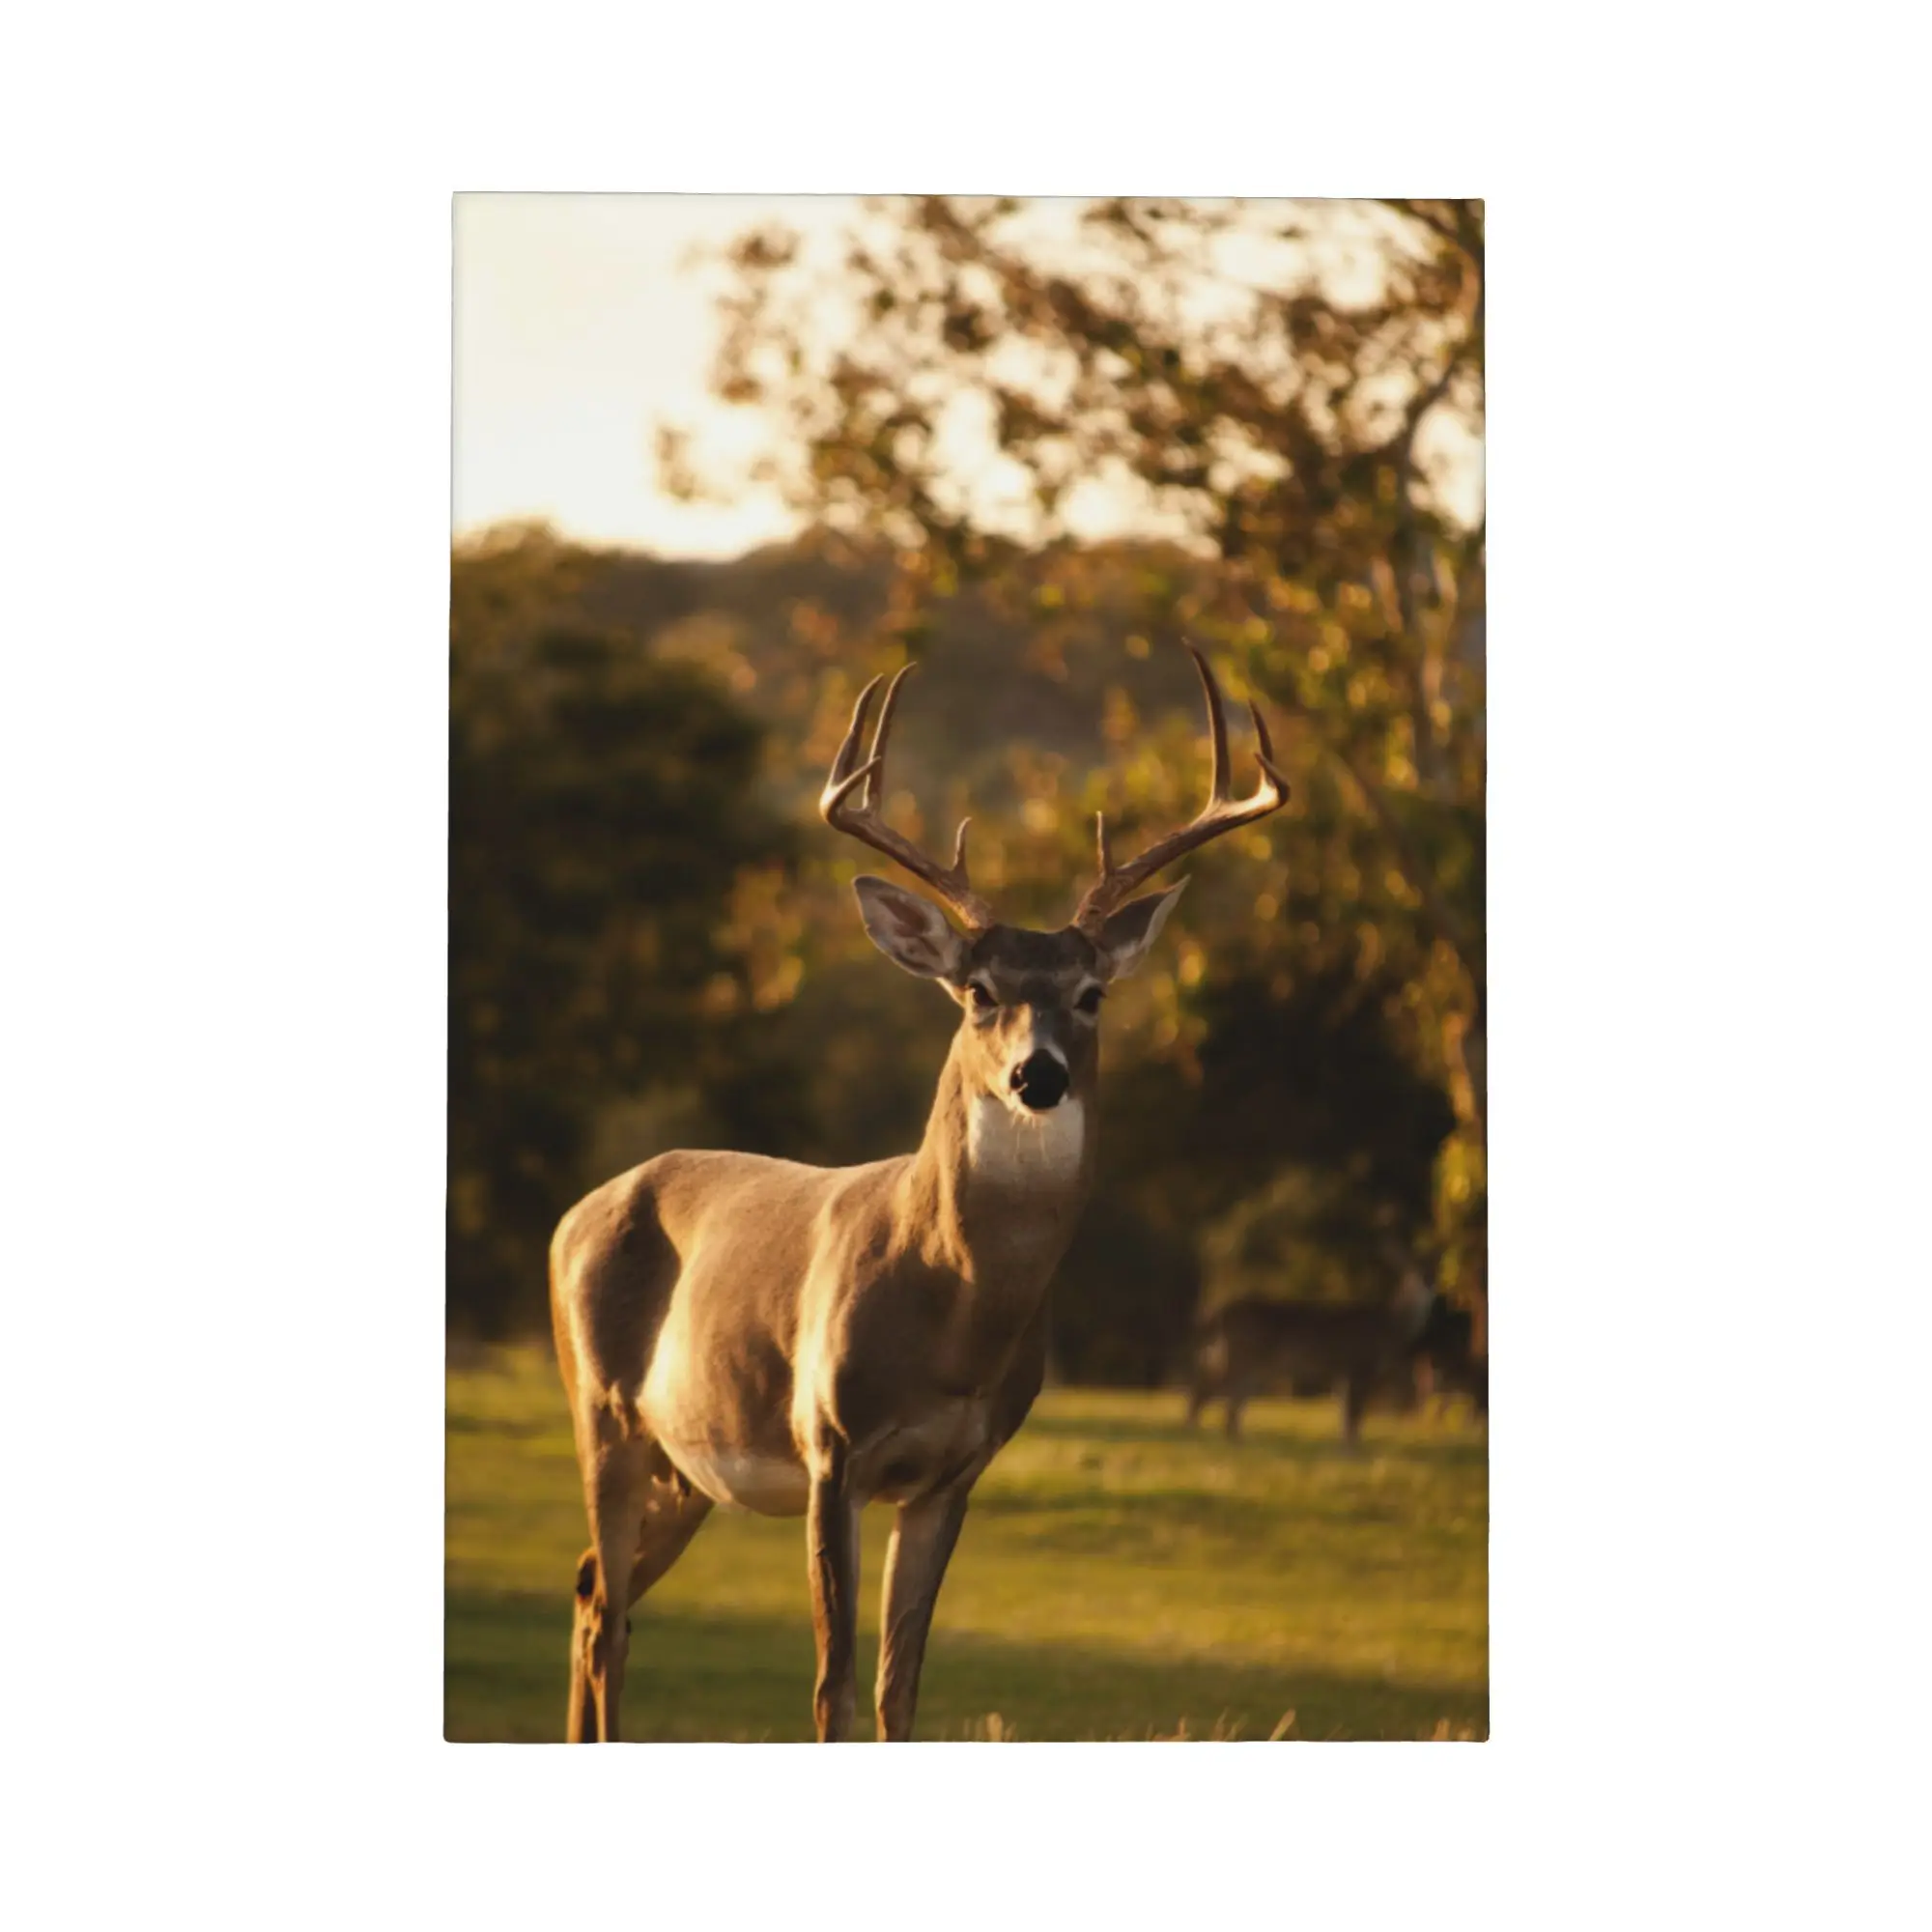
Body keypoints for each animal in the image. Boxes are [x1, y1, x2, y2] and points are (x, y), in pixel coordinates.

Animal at [549, 647, 1286, 1741]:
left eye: (1090, 994)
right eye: (979, 991)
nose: (1037, 1074)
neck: (952, 1318)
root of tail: (575, 1213)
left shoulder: (952, 1473)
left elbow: (902, 1685)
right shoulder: (830, 1447)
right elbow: (834, 1682)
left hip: (685, 1465)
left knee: (594, 1590)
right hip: (602, 1410)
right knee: (606, 1612)